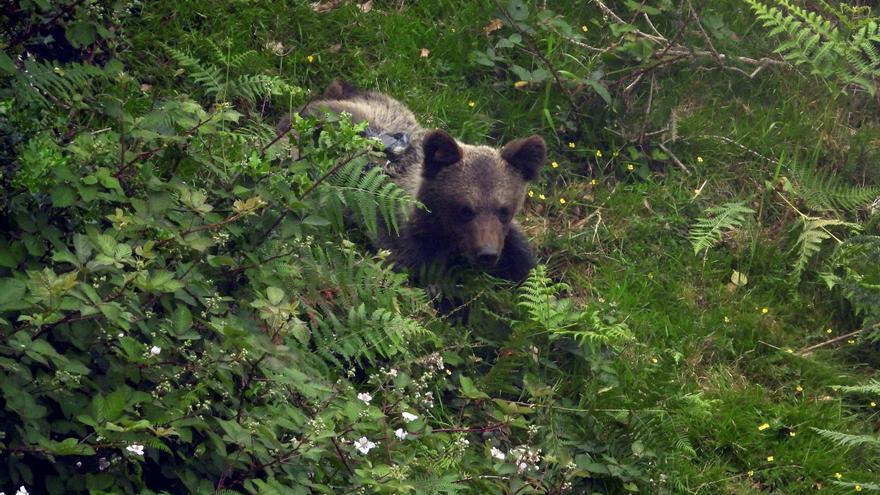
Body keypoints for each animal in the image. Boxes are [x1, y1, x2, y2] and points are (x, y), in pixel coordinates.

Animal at [298, 80, 545, 283]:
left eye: (504, 210)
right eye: (465, 209)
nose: (487, 254)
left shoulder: (510, 243)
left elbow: (524, 264)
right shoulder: (406, 243)